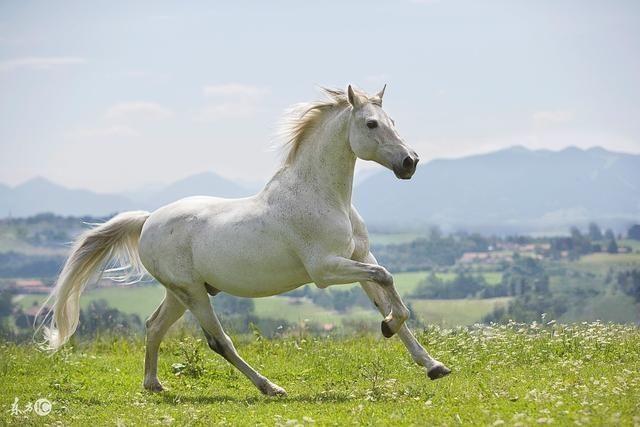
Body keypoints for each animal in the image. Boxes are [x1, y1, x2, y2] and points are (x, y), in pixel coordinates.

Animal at [42, 85, 450, 396]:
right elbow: (387, 280)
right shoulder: (326, 270)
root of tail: (147, 221)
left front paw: (432, 364)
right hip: (193, 293)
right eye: (371, 123)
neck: (321, 195)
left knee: (154, 326)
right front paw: (389, 329)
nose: (410, 162)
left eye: (393, 122)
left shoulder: (360, 256)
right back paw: (270, 387)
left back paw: (154, 384)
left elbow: (388, 295)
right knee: (218, 341)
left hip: (179, 293)